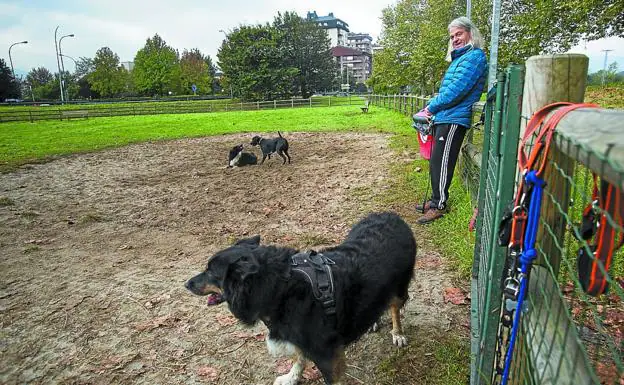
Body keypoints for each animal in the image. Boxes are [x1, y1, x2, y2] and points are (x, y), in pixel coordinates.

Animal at [186, 212, 420, 382]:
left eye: (210, 271)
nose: (186, 284)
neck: (279, 288)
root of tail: (391, 215)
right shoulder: (299, 338)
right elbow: (299, 357)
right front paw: (291, 377)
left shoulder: (327, 355)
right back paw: (373, 322)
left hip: (399, 287)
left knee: (394, 306)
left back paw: (397, 332)